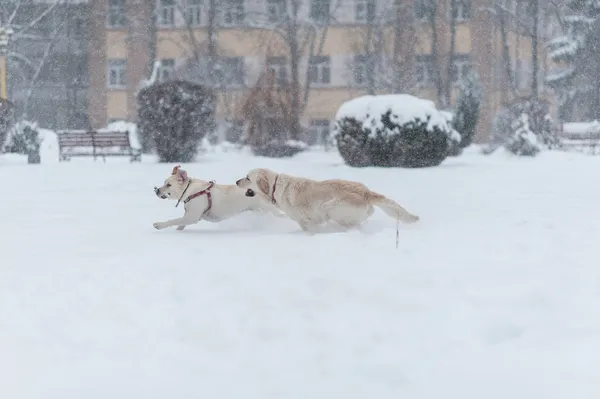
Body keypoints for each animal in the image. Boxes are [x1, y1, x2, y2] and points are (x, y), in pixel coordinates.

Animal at [152, 165, 284, 231]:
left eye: (168, 185)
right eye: (164, 183)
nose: (156, 190)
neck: (190, 190)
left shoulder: (192, 217)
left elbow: (175, 220)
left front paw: (159, 225)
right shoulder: (189, 216)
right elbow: (180, 223)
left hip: (268, 210)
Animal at [234, 167, 418, 233]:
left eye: (247, 178)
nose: (236, 181)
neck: (274, 186)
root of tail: (366, 192)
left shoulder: (305, 219)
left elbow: (309, 228)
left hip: (331, 207)